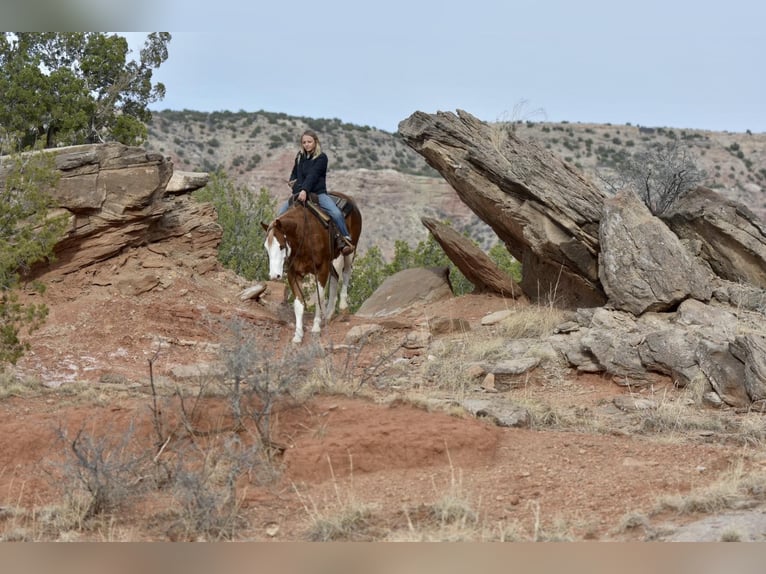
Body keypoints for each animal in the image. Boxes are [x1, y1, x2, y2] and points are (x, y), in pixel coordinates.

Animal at [260, 194, 364, 346]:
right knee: (335, 278)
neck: (304, 235)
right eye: (266, 248)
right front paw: (298, 335)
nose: (274, 275)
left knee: (345, 274)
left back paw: (343, 307)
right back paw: (329, 314)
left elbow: (319, 298)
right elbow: (298, 304)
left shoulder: (321, 269)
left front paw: (315, 328)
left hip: (350, 251)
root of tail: (350, 200)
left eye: (281, 246)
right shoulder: (294, 273)